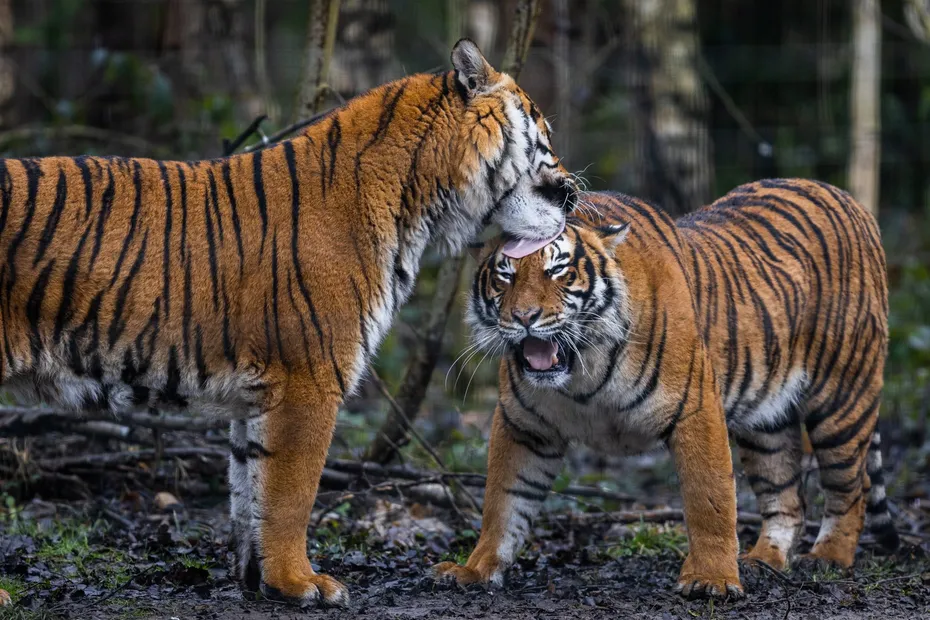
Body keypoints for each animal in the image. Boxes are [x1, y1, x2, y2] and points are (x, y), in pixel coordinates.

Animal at [0, 39, 578, 607]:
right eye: (543, 137)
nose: (572, 194)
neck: (420, 202)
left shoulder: (257, 396)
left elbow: (249, 489)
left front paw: (259, 580)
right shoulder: (310, 378)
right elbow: (291, 494)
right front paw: (301, 583)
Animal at [434, 180, 899, 598]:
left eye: (557, 270)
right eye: (505, 275)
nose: (525, 317)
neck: (584, 369)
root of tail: (847, 199)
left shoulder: (695, 408)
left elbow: (709, 499)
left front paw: (712, 580)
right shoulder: (523, 425)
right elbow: (503, 503)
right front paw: (474, 569)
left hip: (842, 399)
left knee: (850, 488)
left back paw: (828, 557)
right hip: (766, 421)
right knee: (787, 497)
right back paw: (763, 560)